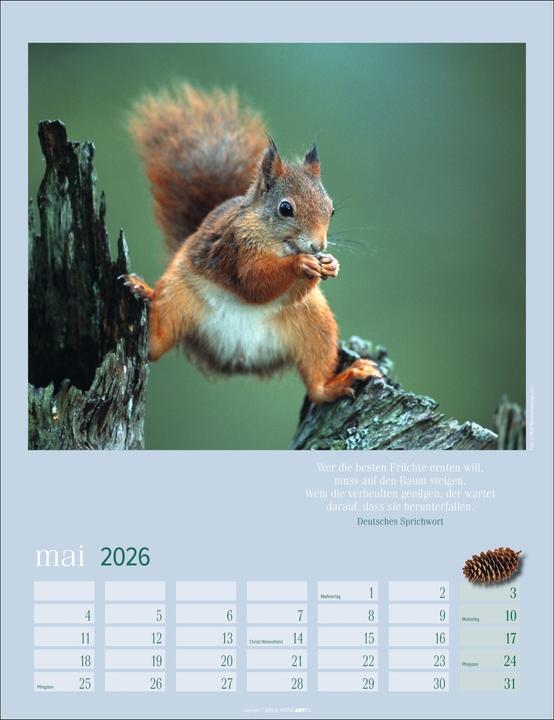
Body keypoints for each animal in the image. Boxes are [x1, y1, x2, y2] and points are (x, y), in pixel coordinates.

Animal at [122, 84, 381, 403]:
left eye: (331, 210)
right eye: (285, 208)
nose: (317, 248)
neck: (277, 243)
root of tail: (238, 357)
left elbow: (286, 292)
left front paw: (330, 265)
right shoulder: (236, 246)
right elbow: (254, 282)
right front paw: (300, 264)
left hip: (315, 323)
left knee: (317, 384)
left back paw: (341, 380)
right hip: (175, 297)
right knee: (155, 347)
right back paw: (141, 290)